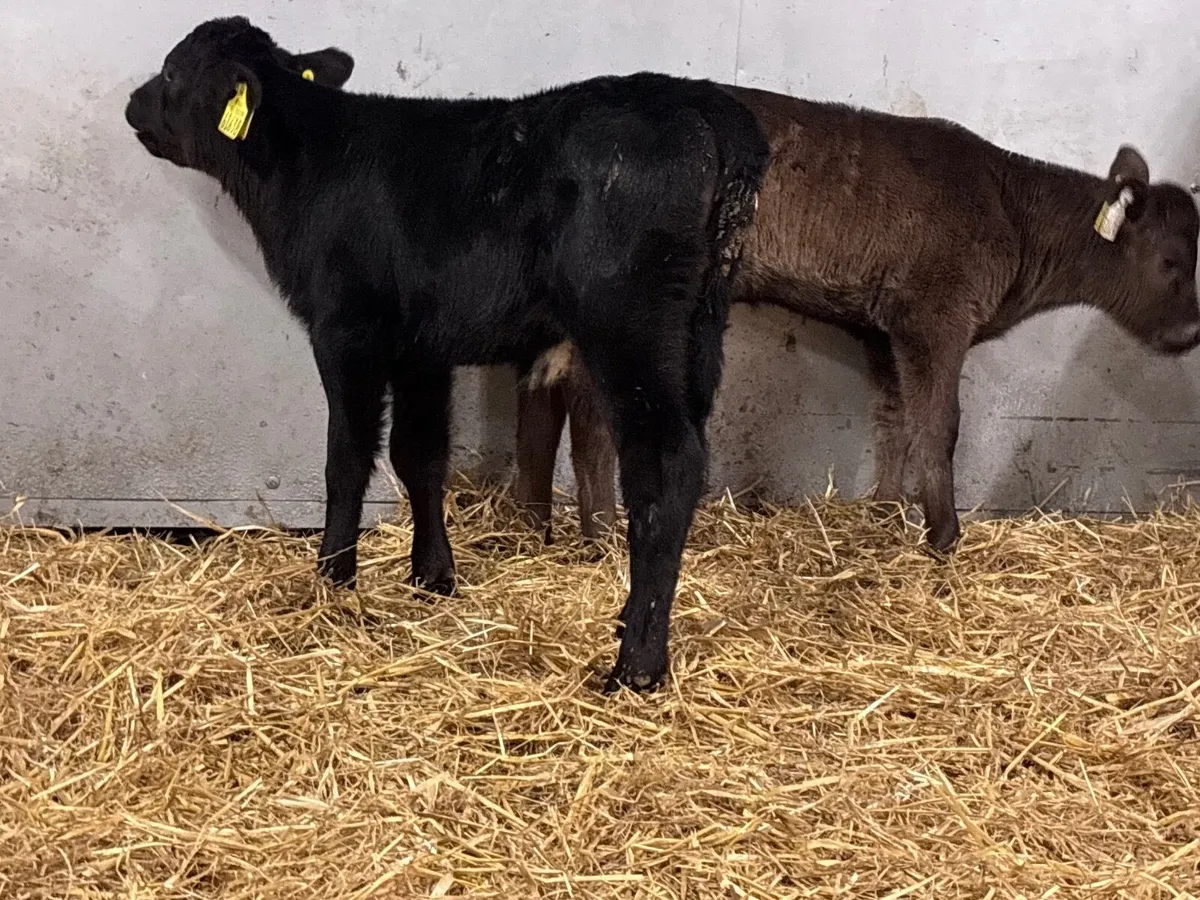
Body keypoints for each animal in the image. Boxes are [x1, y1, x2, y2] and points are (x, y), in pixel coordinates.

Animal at [123, 17, 769, 692]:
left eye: (171, 70)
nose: (131, 104)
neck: (307, 163)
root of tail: (707, 104)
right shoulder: (421, 348)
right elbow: (419, 456)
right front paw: (433, 575)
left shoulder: (345, 330)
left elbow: (346, 459)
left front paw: (332, 576)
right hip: (698, 330)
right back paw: (627, 626)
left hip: (630, 327)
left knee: (667, 464)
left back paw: (637, 663)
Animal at [514, 84, 1200, 552]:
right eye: (1171, 261)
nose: (1192, 332)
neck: (1013, 215)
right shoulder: (936, 315)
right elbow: (939, 424)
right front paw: (944, 535)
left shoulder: (883, 327)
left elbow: (895, 417)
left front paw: (887, 513)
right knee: (587, 399)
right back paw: (601, 534)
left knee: (541, 388)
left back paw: (533, 525)